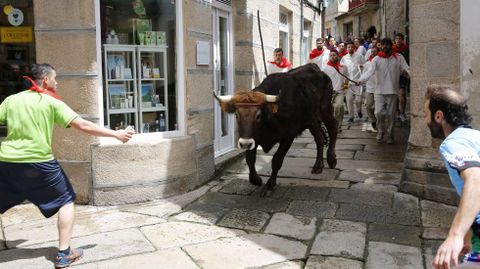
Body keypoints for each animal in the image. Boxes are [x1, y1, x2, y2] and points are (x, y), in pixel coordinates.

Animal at [214, 63, 338, 196]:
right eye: (237, 115)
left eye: (258, 115)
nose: (244, 143)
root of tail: (315, 68)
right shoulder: (253, 138)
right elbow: (250, 159)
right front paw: (256, 180)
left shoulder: (288, 136)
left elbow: (277, 160)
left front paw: (270, 185)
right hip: (312, 120)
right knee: (319, 138)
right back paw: (318, 165)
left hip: (325, 110)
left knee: (333, 127)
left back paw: (331, 159)